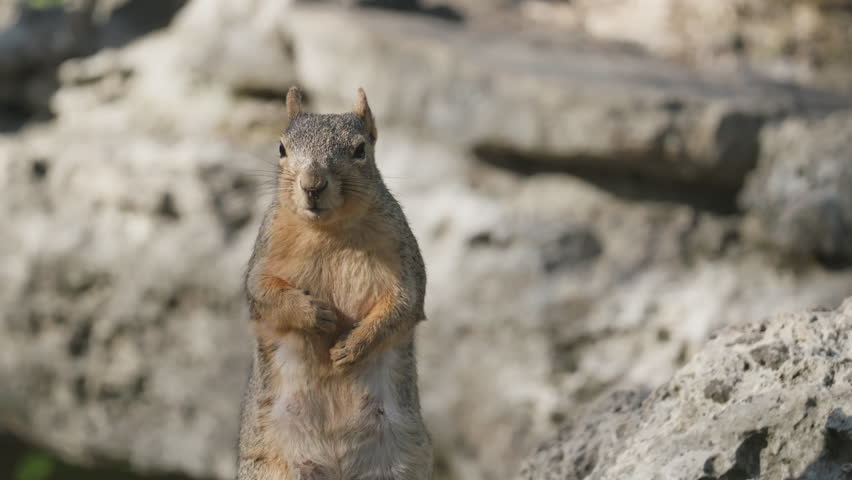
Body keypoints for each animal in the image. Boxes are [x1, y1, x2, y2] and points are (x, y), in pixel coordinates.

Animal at [237, 87, 433, 480]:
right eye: (281, 148)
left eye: (360, 150)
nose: (312, 185)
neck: (328, 232)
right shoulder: (263, 258)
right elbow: (263, 293)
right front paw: (314, 314)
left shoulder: (404, 260)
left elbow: (403, 305)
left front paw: (353, 346)